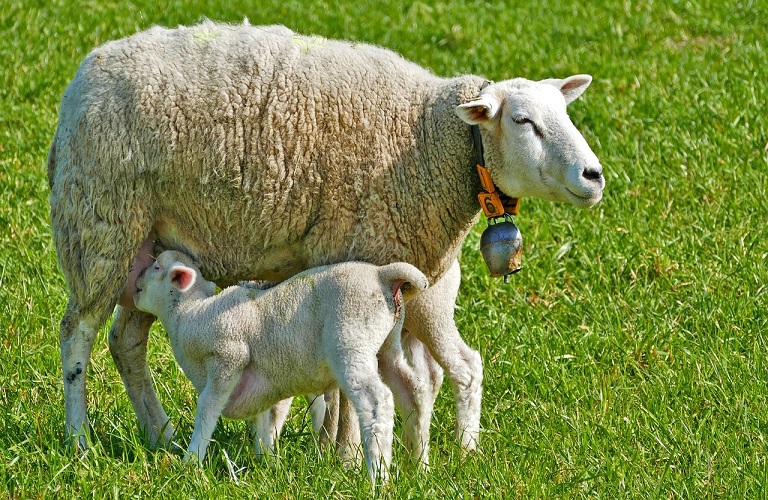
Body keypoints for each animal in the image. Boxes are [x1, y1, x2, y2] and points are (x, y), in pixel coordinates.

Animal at [48, 21, 608, 454]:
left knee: (126, 340)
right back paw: (80, 440)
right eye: (523, 121)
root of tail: (82, 77)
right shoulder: (351, 256)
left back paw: (160, 435)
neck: (429, 136)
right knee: (78, 335)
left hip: (148, 246)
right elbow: (347, 387)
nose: (594, 176)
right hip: (99, 225)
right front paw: (345, 454)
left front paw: (340, 451)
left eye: (565, 114)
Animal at [133, 250, 432, 480]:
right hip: (387, 345)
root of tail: (382, 275)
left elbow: (207, 408)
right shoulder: (260, 383)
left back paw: (377, 477)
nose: (135, 283)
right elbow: (264, 421)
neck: (189, 314)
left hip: (351, 340)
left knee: (377, 401)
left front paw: (192, 461)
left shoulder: (229, 356)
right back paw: (418, 467)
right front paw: (265, 463)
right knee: (413, 392)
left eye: (157, 267)